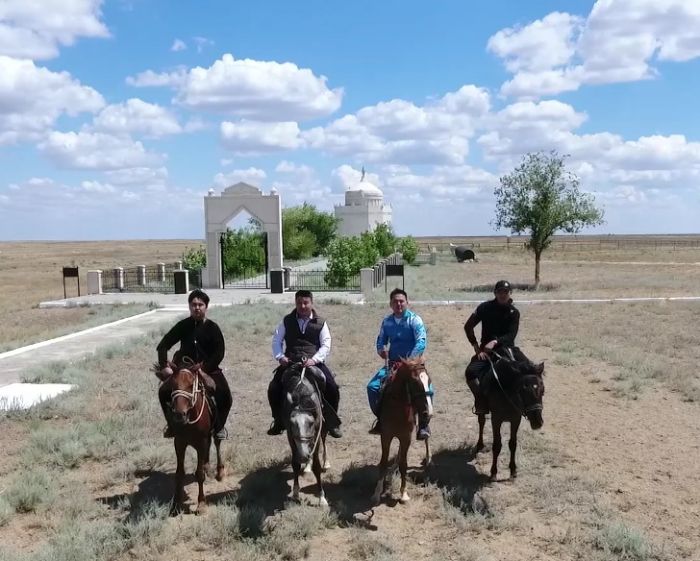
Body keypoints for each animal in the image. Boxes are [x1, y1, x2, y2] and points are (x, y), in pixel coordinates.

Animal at [280, 360, 330, 506]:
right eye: (292, 424)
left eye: (311, 423)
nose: (303, 456)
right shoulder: (291, 437)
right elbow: (295, 464)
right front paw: (296, 493)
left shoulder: (316, 434)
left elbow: (317, 466)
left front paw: (322, 498)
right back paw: (307, 465)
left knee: (324, 440)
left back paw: (325, 462)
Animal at [372, 356, 432, 506]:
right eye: (415, 383)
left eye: (429, 381)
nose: (428, 412)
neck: (397, 409)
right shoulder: (386, 436)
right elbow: (383, 462)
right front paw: (376, 493)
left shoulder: (406, 437)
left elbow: (404, 464)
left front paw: (404, 494)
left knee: (426, 439)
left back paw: (428, 458)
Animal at [476, 354, 548, 482]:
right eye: (521, 391)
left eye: (543, 390)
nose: (537, 422)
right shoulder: (496, 420)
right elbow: (497, 445)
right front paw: (493, 473)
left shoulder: (515, 419)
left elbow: (513, 444)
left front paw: (513, 471)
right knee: (481, 422)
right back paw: (480, 445)